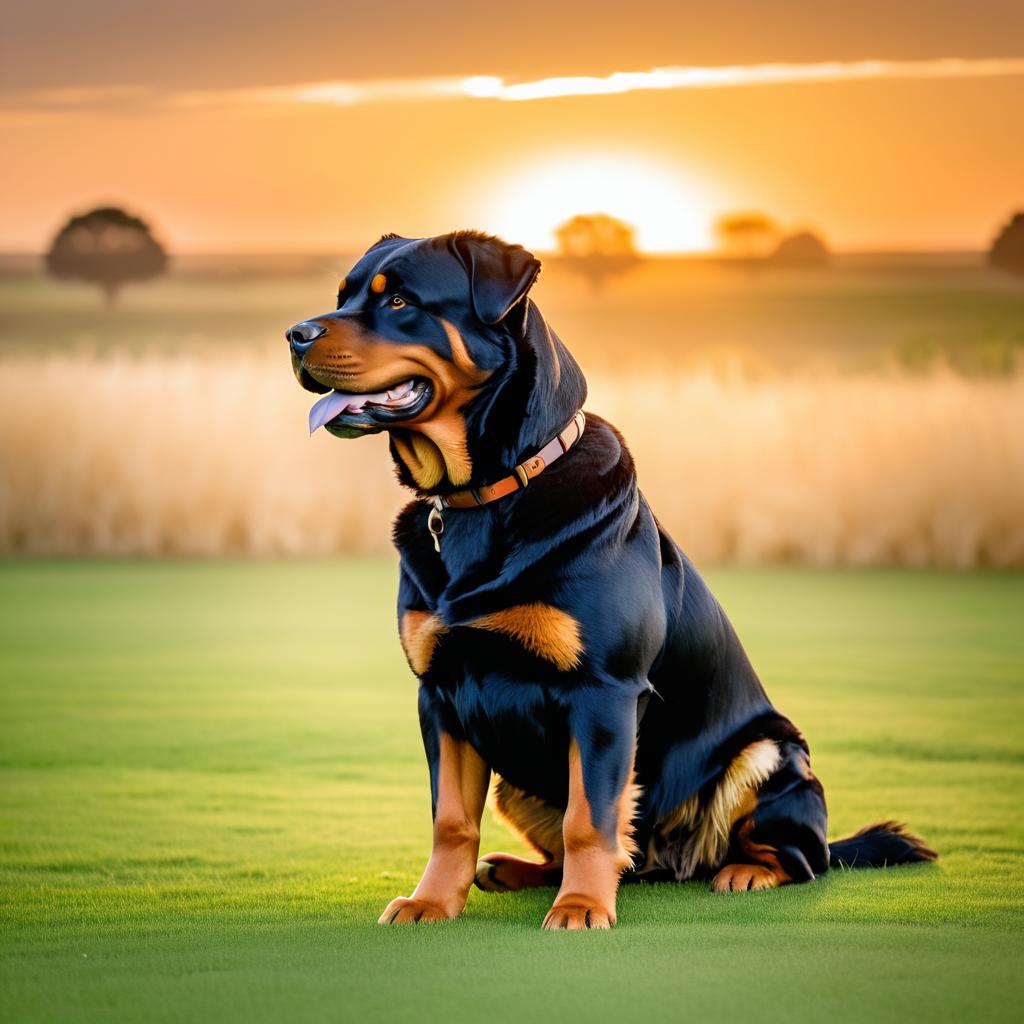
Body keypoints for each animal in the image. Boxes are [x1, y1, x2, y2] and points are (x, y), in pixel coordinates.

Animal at [284, 230, 933, 929]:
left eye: (400, 300)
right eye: (345, 294)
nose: (295, 334)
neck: (485, 495)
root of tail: (669, 863)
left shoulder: (603, 693)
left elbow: (590, 819)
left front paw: (582, 907)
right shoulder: (441, 693)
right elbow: (452, 821)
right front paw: (432, 902)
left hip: (768, 753)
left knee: (801, 856)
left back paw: (745, 871)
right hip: (520, 779)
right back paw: (513, 870)